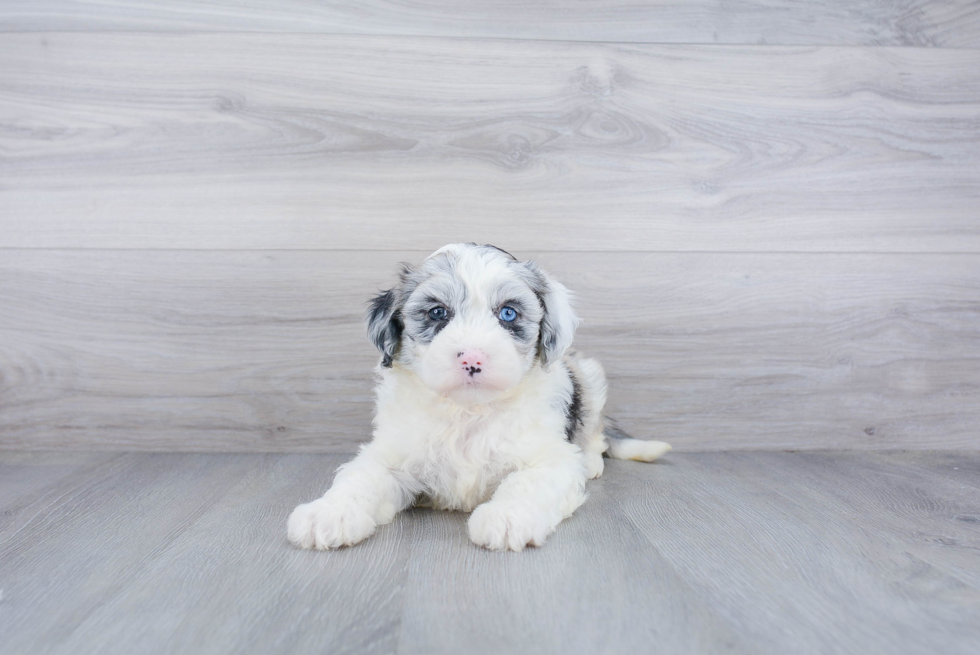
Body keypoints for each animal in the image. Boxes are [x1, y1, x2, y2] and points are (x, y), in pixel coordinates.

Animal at [284, 243, 668, 552]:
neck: (468, 411)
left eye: (508, 313)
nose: (472, 357)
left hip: (589, 375)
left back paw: (590, 460)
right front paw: (327, 514)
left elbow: (527, 482)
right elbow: (360, 478)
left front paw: (507, 517)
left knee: (594, 431)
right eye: (437, 312)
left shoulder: (549, 459)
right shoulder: (390, 455)